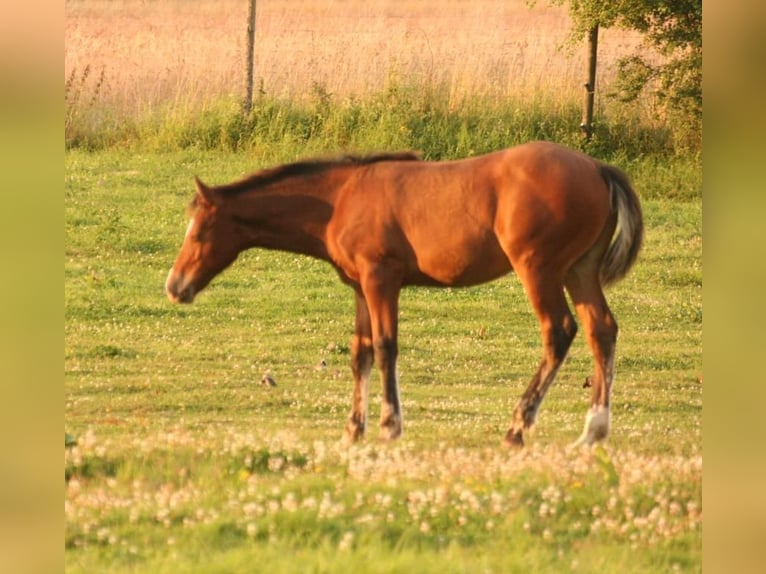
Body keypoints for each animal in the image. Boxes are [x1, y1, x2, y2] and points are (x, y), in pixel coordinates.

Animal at [166, 141, 640, 450]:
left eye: (199, 232)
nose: (175, 286)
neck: (340, 200)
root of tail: (598, 167)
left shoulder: (382, 278)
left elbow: (385, 348)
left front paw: (389, 425)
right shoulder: (361, 286)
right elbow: (360, 354)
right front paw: (352, 429)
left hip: (538, 269)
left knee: (558, 331)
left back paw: (518, 428)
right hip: (579, 270)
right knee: (602, 330)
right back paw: (593, 431)